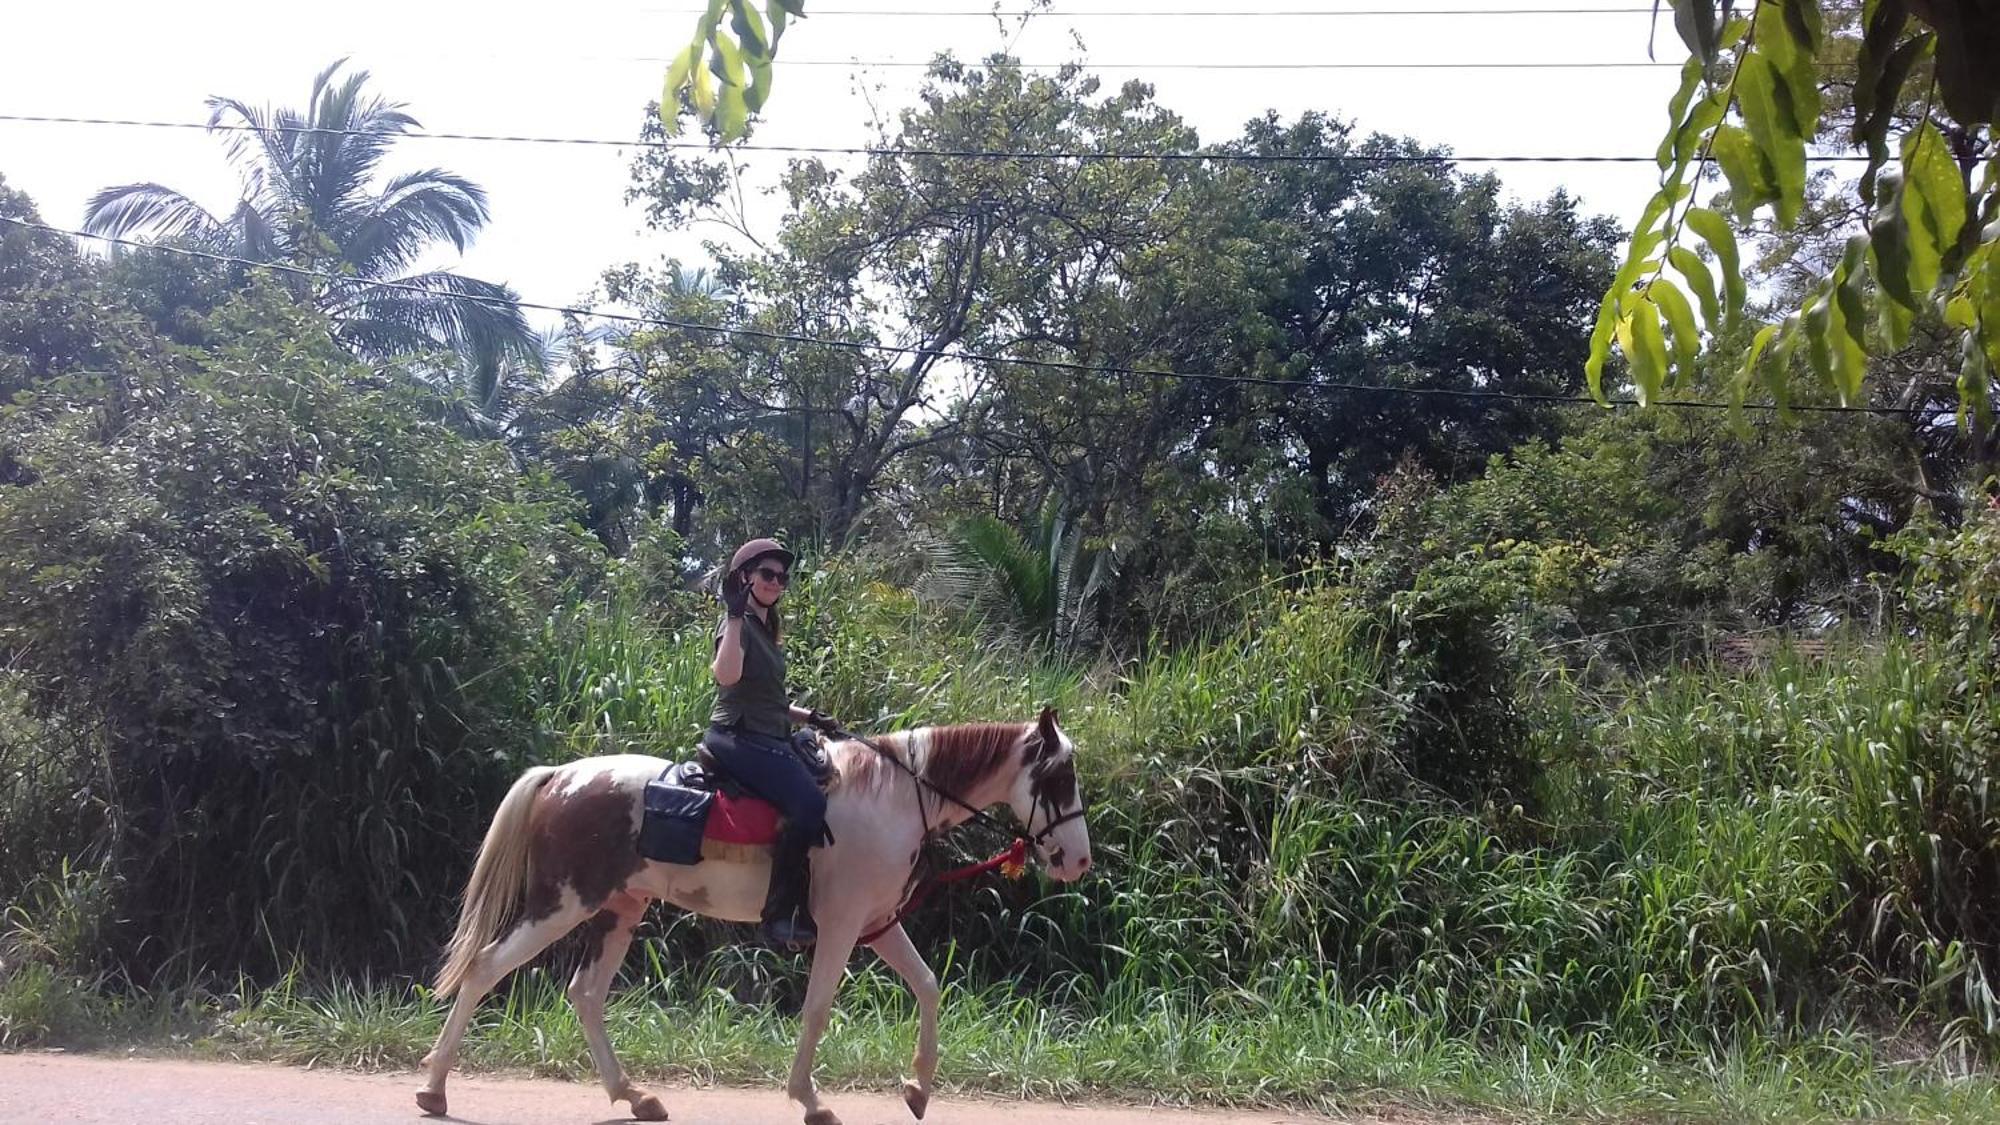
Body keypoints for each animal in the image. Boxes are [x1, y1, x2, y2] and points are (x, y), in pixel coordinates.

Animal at [412, 704, 1088, 1120]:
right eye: (1059, 778)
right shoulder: (840, 928)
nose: (1078, 860)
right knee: (485, 968)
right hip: (561, 904)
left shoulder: (878, 926)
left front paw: (918, 1088)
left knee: (585, 994)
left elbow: (926, 985)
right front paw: (811, 1100)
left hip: (618, 911)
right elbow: (817, 1010)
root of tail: (561, 778)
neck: (896, 796)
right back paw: (434, 1086)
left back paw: (633, 1096)